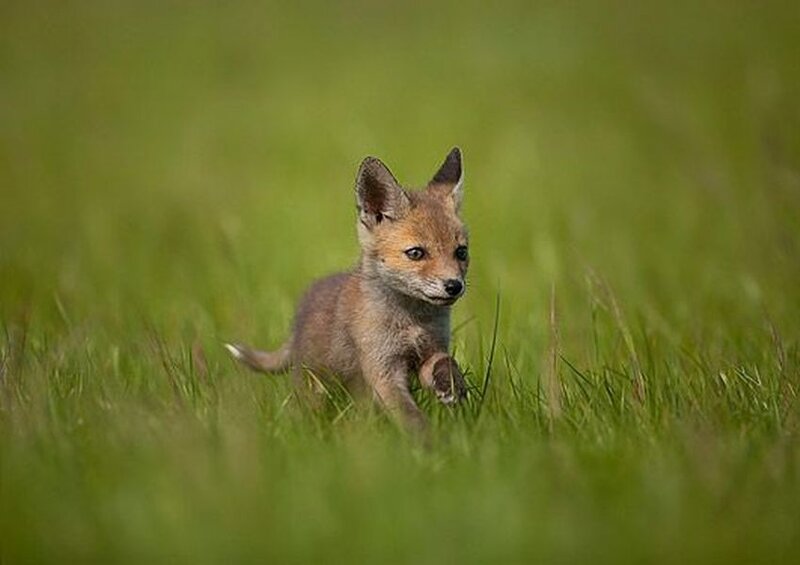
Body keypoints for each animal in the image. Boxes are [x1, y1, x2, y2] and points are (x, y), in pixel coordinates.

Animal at [225, 147, 470, 433]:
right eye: (416, 253)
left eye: (461, 252)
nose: (454, 286)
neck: (412, 320)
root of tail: (297, 319)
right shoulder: (383, 369)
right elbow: (408, 414)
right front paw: (429, 441)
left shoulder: (430, 352)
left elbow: (446, 362)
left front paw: (453, 385)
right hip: (312, 385)